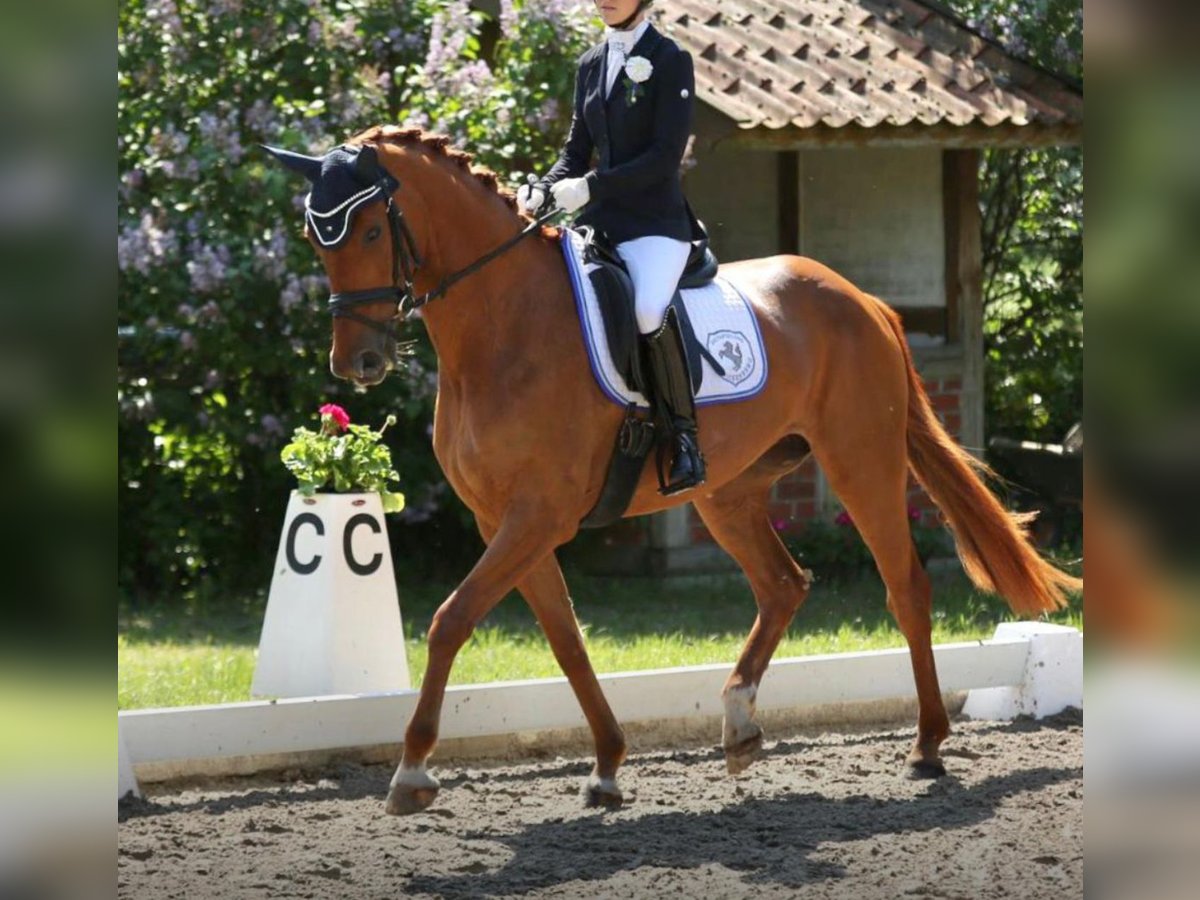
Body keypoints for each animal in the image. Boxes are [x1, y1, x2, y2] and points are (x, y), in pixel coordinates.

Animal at [267, 127, 1084, 816]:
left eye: (373, 231)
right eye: (315, 237)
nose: (358, 362)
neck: (502, 324)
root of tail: (864, 300)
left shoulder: (537, 515)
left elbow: (450, 621)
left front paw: (411, 773)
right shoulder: (505, 520)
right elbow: (566, 639)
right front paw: (605, 767)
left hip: (860, 463)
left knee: (905, 586)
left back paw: (926, 747)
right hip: (728, 492)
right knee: (783, 584)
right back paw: (740, 726)